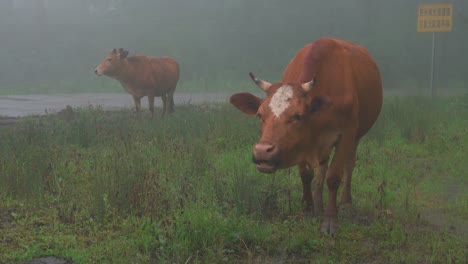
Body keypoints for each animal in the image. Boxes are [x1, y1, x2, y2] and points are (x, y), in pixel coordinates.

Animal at [229, 37, 382, 233]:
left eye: (298, 116)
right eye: (259, 115)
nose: (263, 151)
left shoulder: (347, 133)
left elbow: (334, 176)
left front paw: (330, 220)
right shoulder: (300, 143)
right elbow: (307, 175)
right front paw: (308, 209)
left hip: (357, 136)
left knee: (349, 165)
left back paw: (346, 202)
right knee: (321, 169)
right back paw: (318, 202)